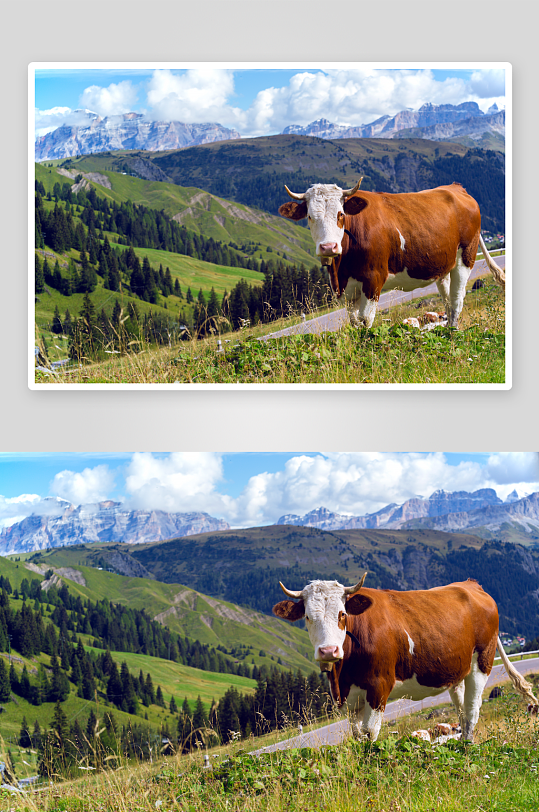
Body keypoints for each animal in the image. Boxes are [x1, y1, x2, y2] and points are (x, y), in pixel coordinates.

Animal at [274, 576, 539, 744]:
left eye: (342, 614)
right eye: (307, 617)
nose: (329, 651)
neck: (343, 676)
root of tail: (471, 585)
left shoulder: (379, 687)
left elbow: (370, 733)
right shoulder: (349, 699)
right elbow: (357, 736)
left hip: (481, 661)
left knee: (472, 710)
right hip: (457, 671)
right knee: (462, 712)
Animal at [278, 179, 506, 328]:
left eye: (340, 214)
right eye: (309, 216)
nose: (328, 247)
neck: (341, 270)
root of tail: (455, 187)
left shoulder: (373, 279)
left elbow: (365, 320)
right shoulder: (347, 290)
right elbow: (354, 323)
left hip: (465, 256)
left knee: (457, 300)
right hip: (443, 265)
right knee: (448, 301)